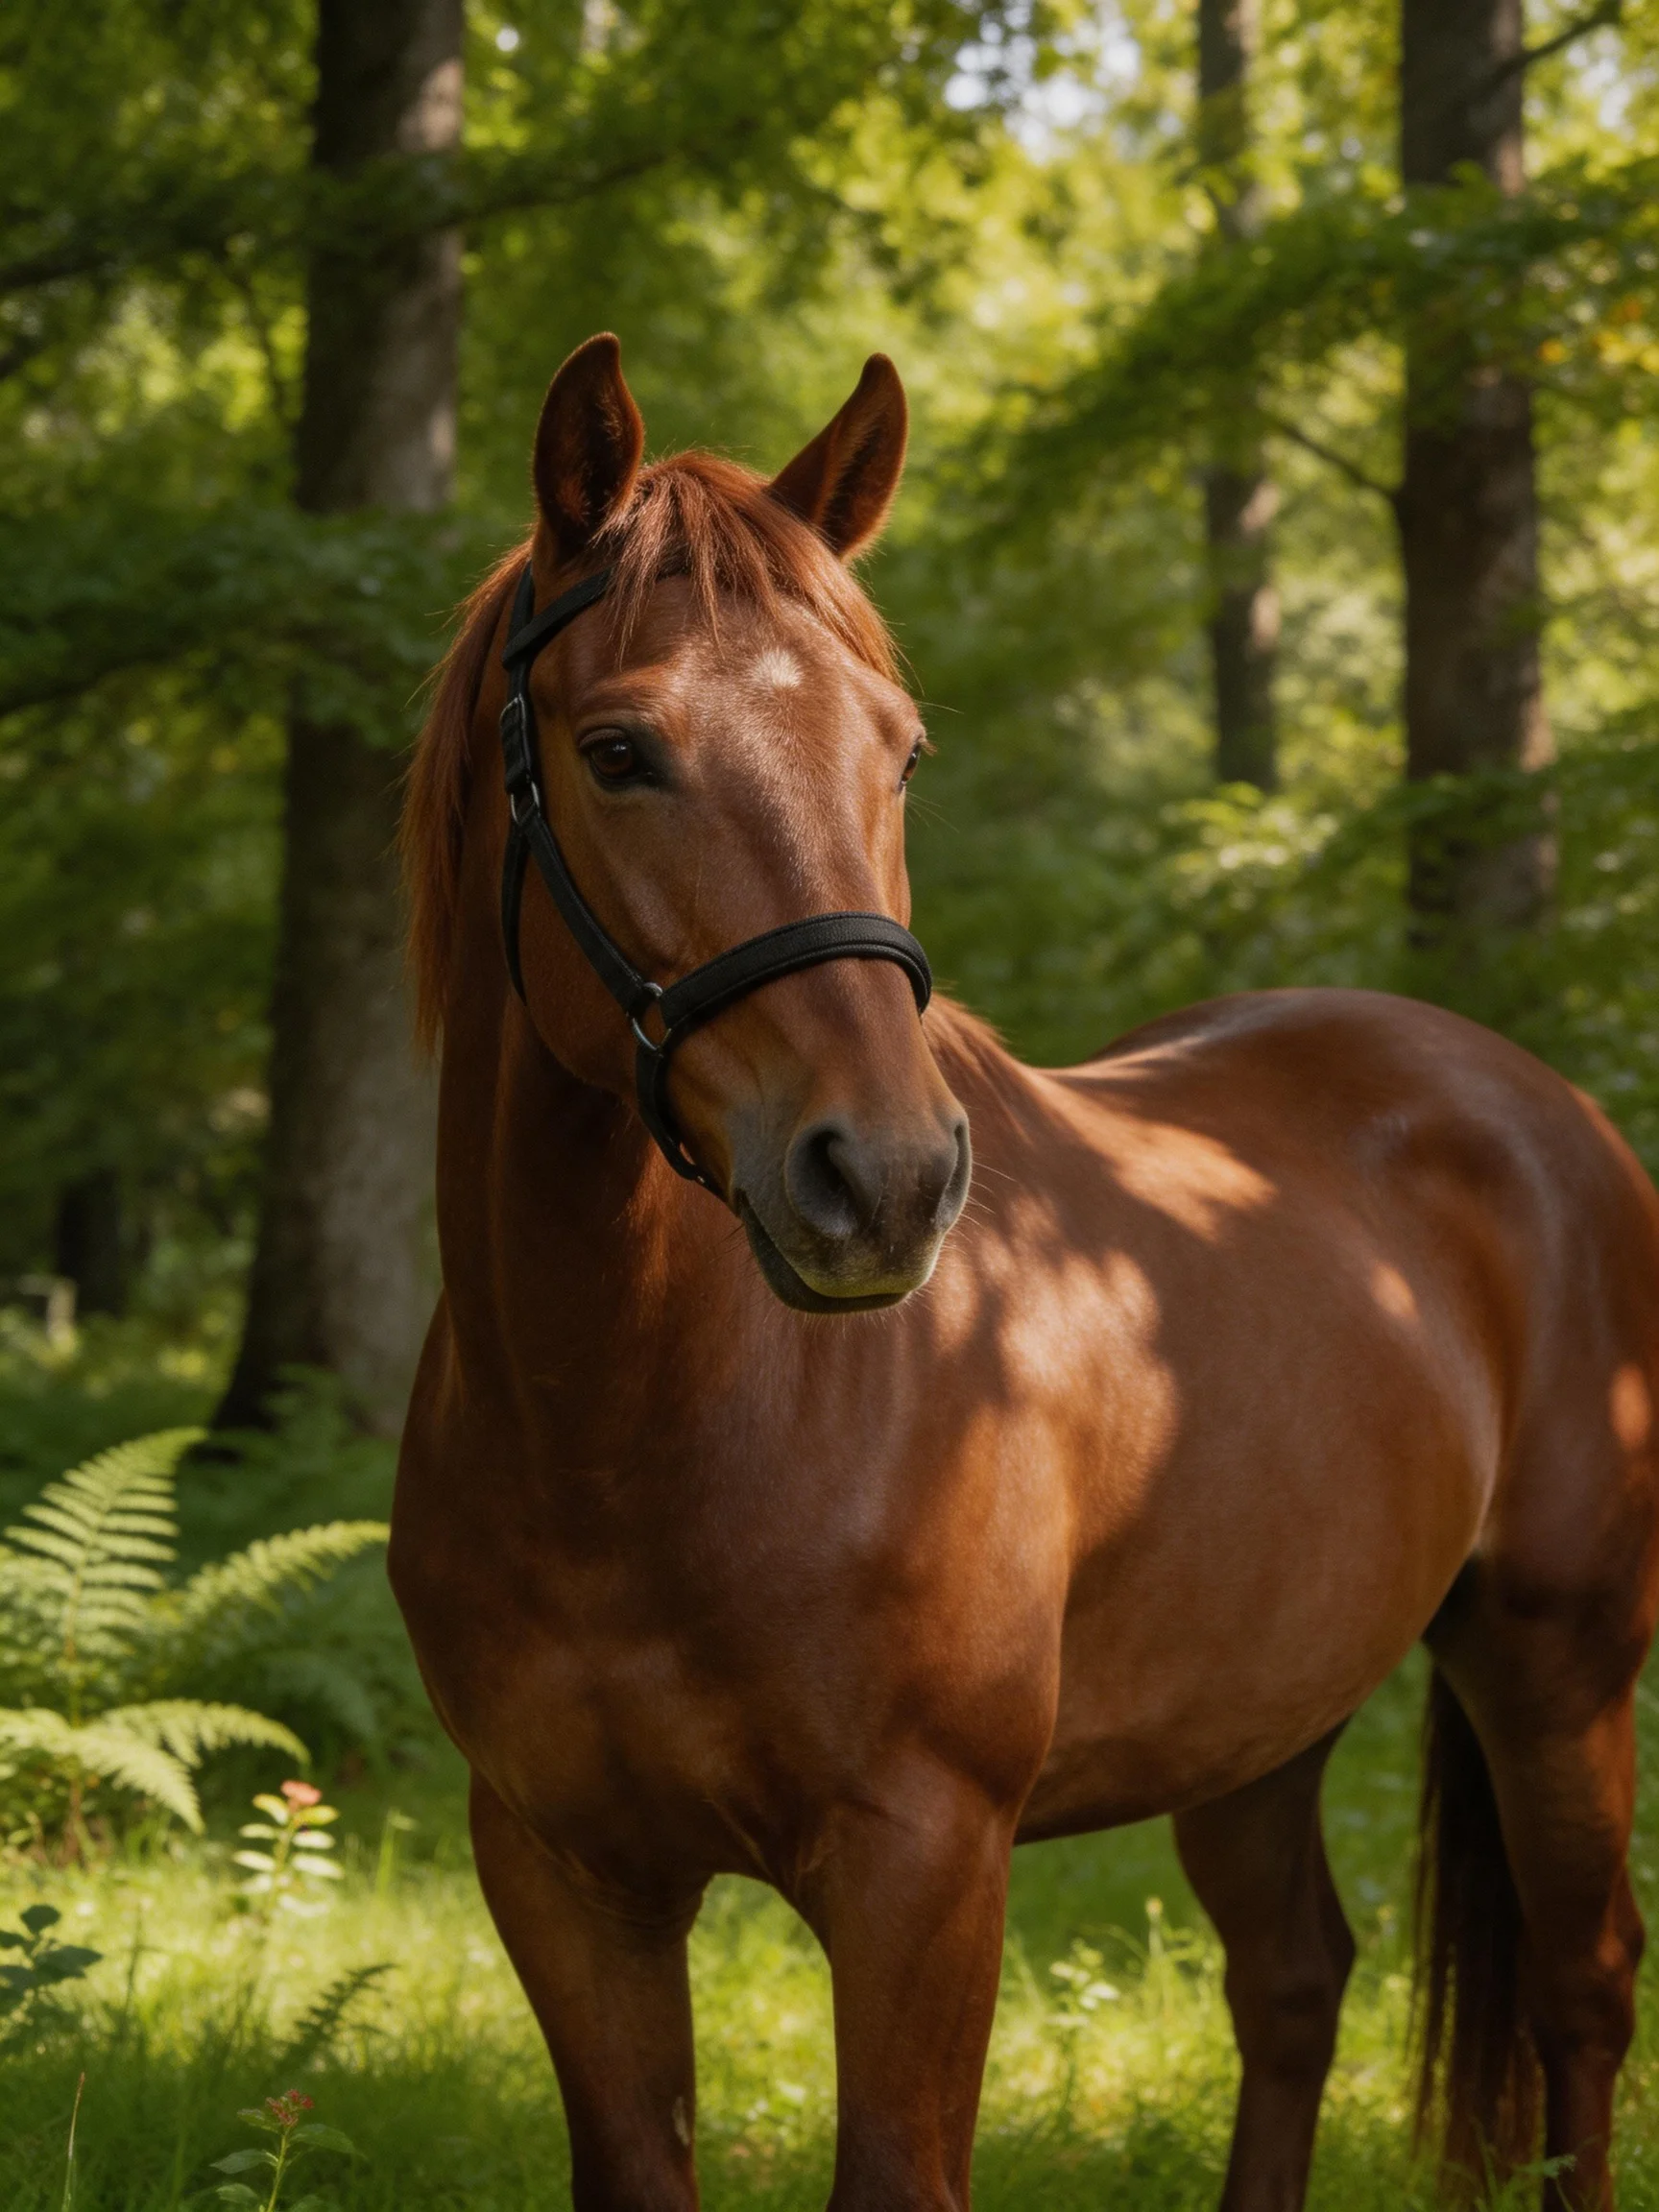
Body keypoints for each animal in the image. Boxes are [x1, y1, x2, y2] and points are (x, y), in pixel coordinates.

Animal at [392, 332, 1659, 2212]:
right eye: (616, 749)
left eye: (900, 753)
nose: (888, 1179)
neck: (627, 1429)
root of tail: (1538, 1108)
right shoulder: (563, 1869)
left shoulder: (922, 1865)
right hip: (1261, 1720)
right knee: (1293, 1979)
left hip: (1555, 1663)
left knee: (1580, 1990)